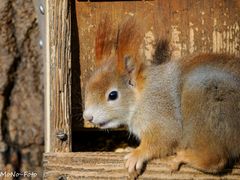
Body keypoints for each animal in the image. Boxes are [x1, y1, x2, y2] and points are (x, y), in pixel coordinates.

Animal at [83, 17, 240, 178]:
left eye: (113, 95)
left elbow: (164, 139)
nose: (87, 117)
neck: (142, 97)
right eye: (87, 87)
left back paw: (184, 157)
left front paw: (137, 154)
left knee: (216, 160)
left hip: (203, 102)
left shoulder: (161, 114)